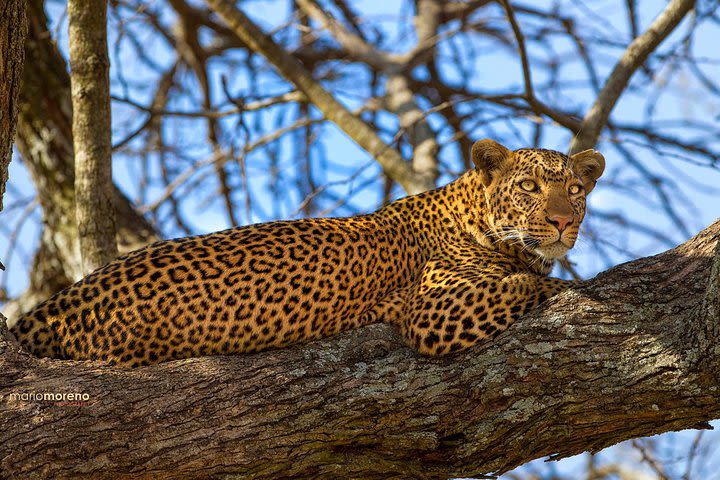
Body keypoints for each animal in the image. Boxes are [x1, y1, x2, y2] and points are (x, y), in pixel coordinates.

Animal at [8, 139, 604, 368]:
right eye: (529, 186)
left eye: (576, 189)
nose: (563, 221)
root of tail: (52, 309)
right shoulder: (434, 310)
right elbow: (530, 284)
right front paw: (565, 284)